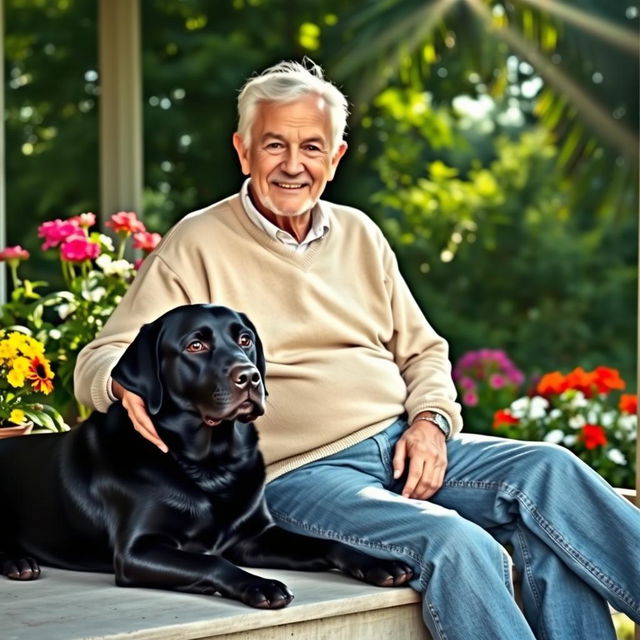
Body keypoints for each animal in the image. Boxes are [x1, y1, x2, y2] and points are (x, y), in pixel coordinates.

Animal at [0, 302, 410, 608]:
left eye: (245, 339)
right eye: (195, 346)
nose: (250, 376)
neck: (210, 464)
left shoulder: (255, 536)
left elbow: (327, 543)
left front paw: (378, 564)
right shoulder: (137, 550)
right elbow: (212, 560)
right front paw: (262, 585)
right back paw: (18, 562)